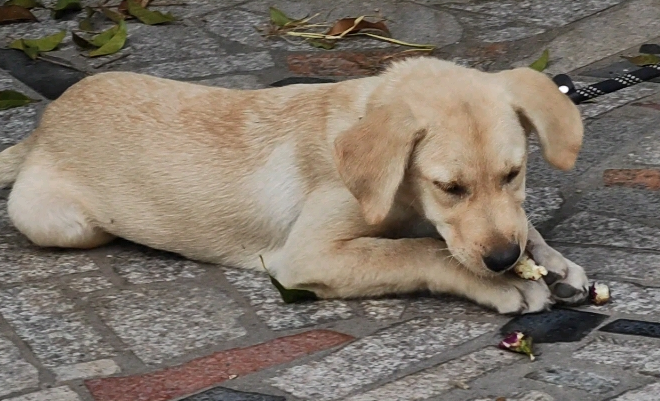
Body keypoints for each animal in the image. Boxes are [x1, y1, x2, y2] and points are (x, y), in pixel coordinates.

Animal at [0, 57, 588, 312]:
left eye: (514, 173)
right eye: (450, 187)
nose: (501, 260)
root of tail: (43, 125)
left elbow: (518, 226)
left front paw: (552, 262)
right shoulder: (308, 256)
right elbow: (418, 251)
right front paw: (504, 283)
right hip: (63, 223)